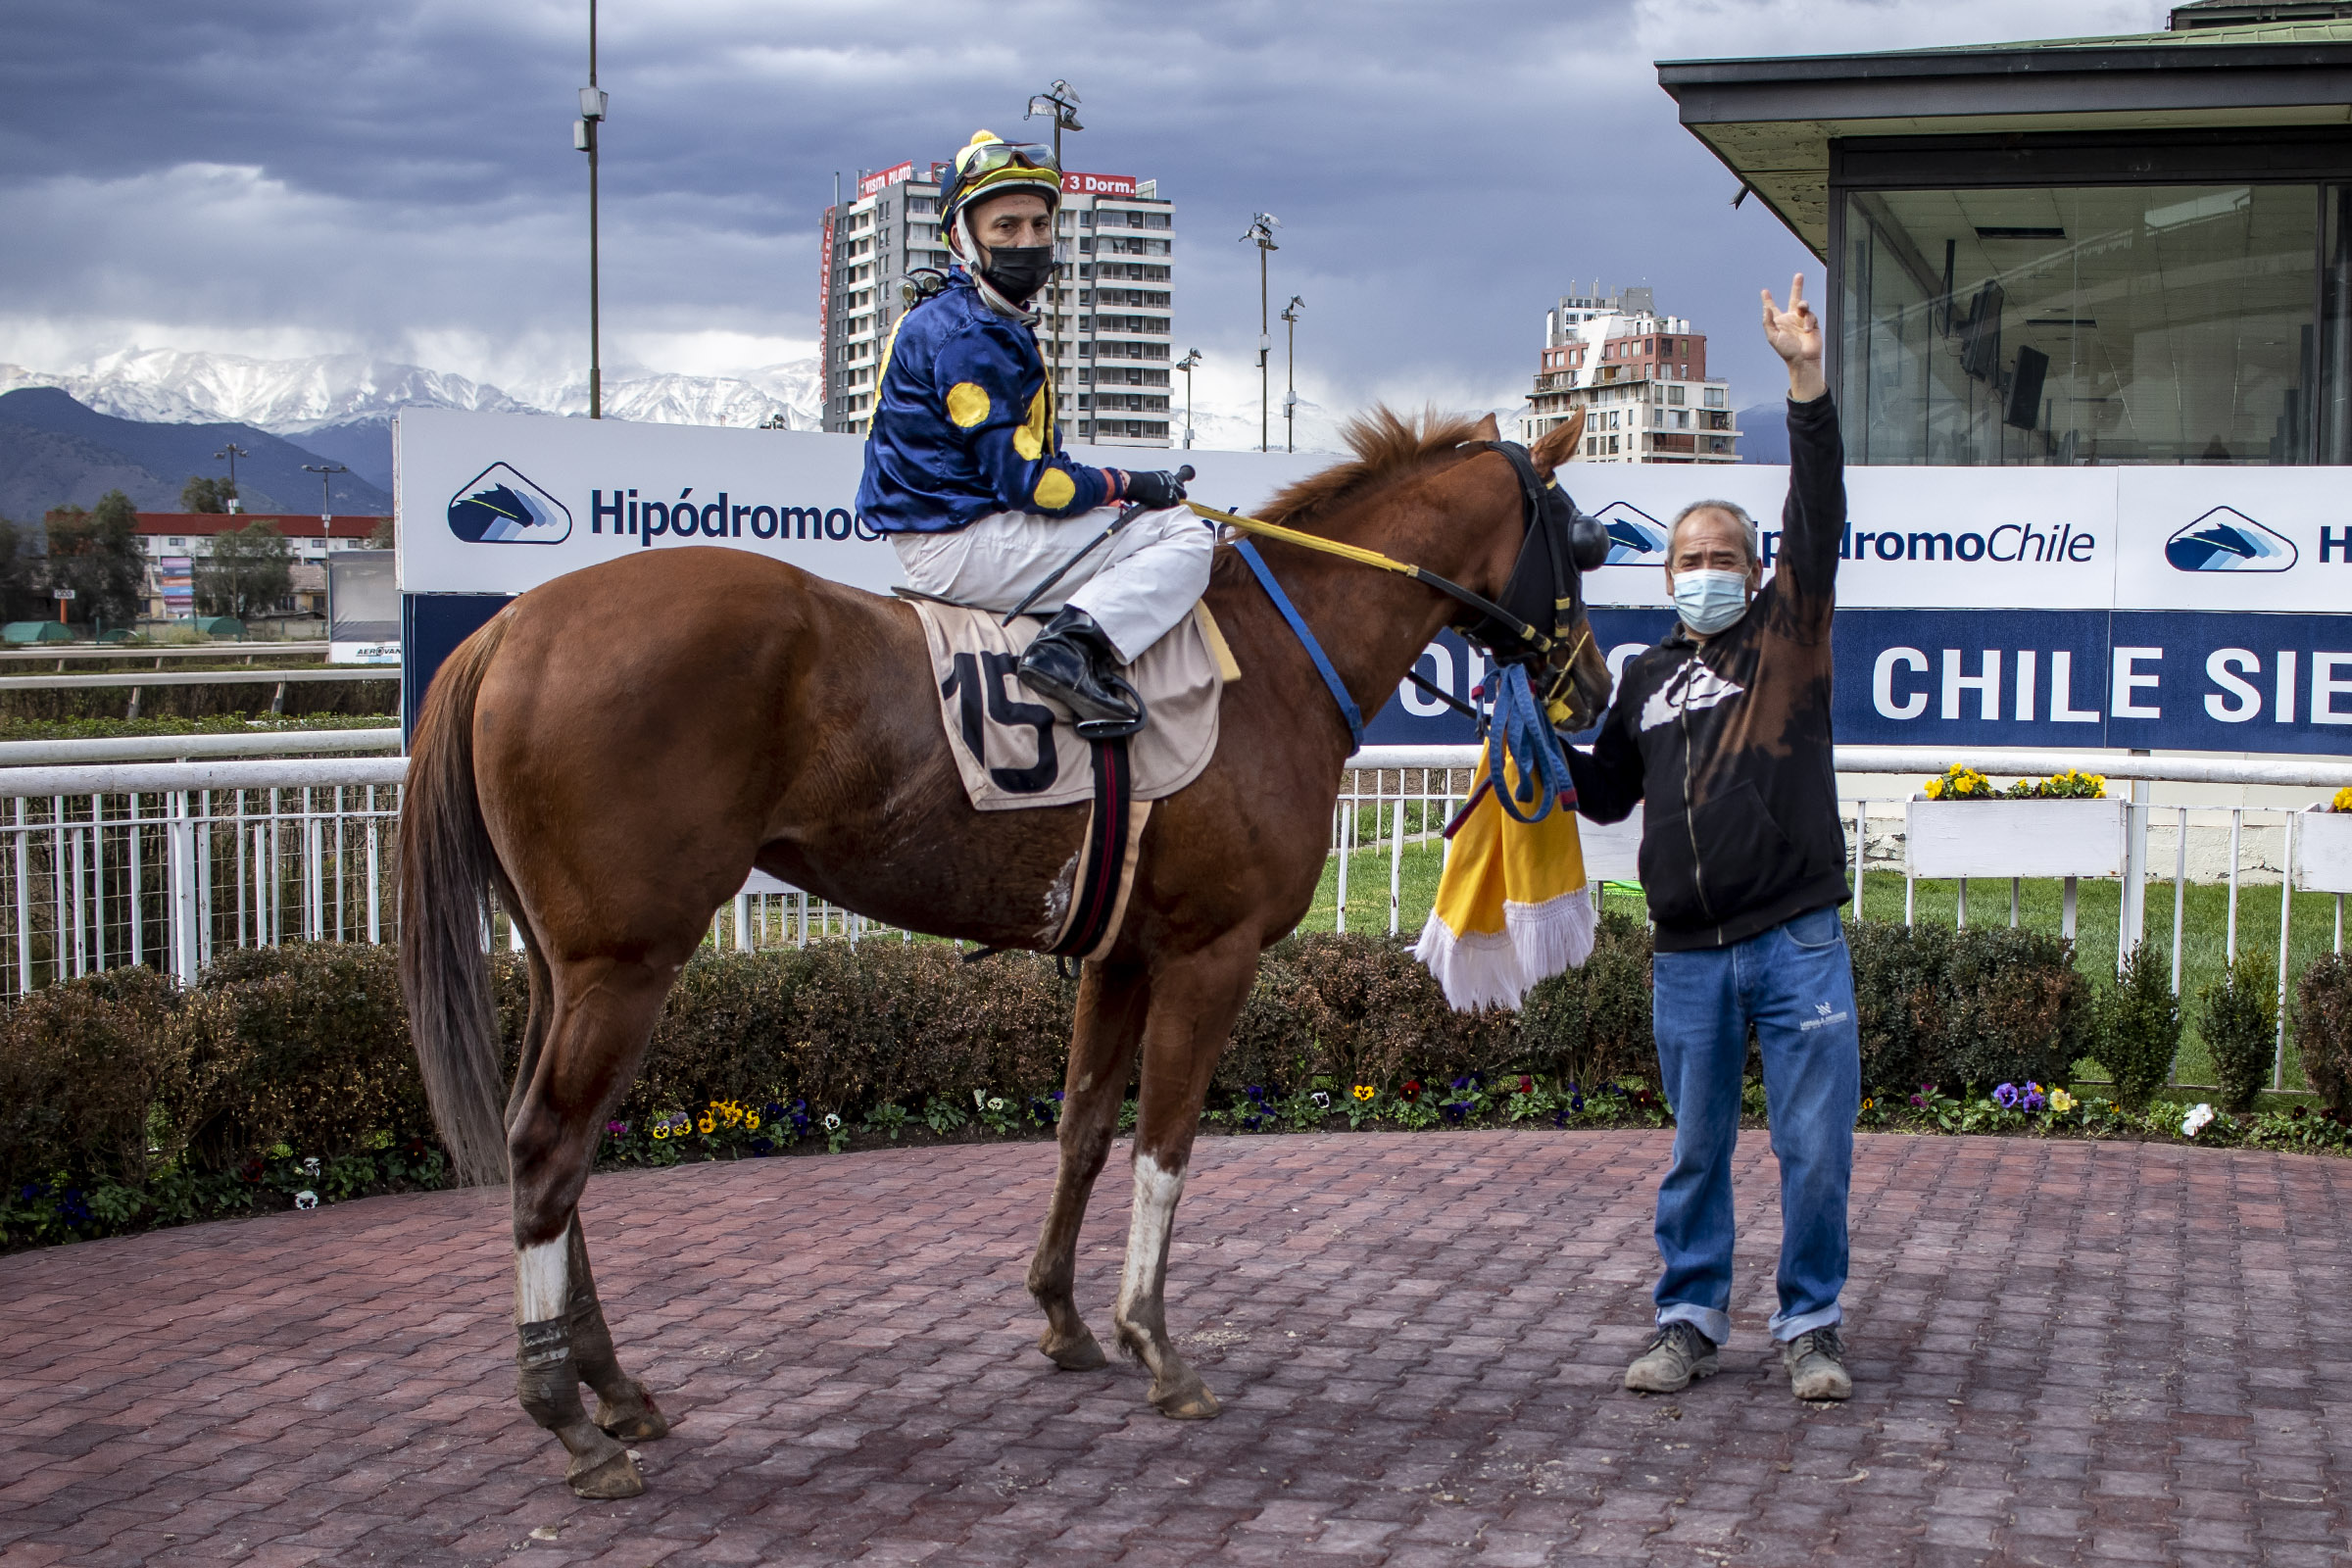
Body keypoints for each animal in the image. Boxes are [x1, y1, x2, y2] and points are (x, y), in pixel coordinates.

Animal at [400, 405, 1603, 1498]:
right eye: (1582, 536)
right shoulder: (1212, 955)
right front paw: (1156, 1342)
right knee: (549, 1146)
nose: (1589, 685)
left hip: (561, 963)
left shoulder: (1122, 954)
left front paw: (1066, 1320)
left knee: (545, 1143)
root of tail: (511, 628)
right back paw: (570, 1420)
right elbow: (1166, 1146)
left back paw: (614, 1390)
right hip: (626, 961)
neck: (1273, 658)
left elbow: (1083, 1132)